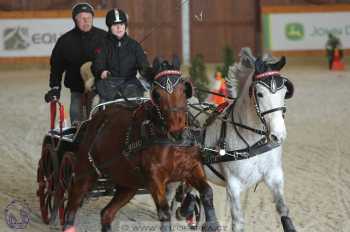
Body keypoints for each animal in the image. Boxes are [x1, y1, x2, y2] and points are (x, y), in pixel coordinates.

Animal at [59, 57, 219, 231]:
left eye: (185, 90)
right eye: (157, 94)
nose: (177, 131)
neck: (172, 142)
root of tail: (93, 119)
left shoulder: (193, 168)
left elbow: (207, 192)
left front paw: (209, 223)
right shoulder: (154, 178)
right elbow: (164, 212)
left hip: (127, 184)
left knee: (106, 213)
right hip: (84, 174)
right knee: (71, 209)